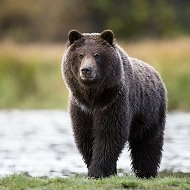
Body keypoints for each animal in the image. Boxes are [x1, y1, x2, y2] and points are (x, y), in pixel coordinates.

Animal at [61, 29, 167, 178]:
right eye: (80, 55)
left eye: (97, 55)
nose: (86, 70)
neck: (94, 97)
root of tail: (156, 73)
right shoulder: (81, 107)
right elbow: (85, 136)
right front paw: (104, 170)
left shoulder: (114, 101)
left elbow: (109, 134)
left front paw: (97, 171)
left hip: (151, 113)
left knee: (147, 143)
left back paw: (146, 172)